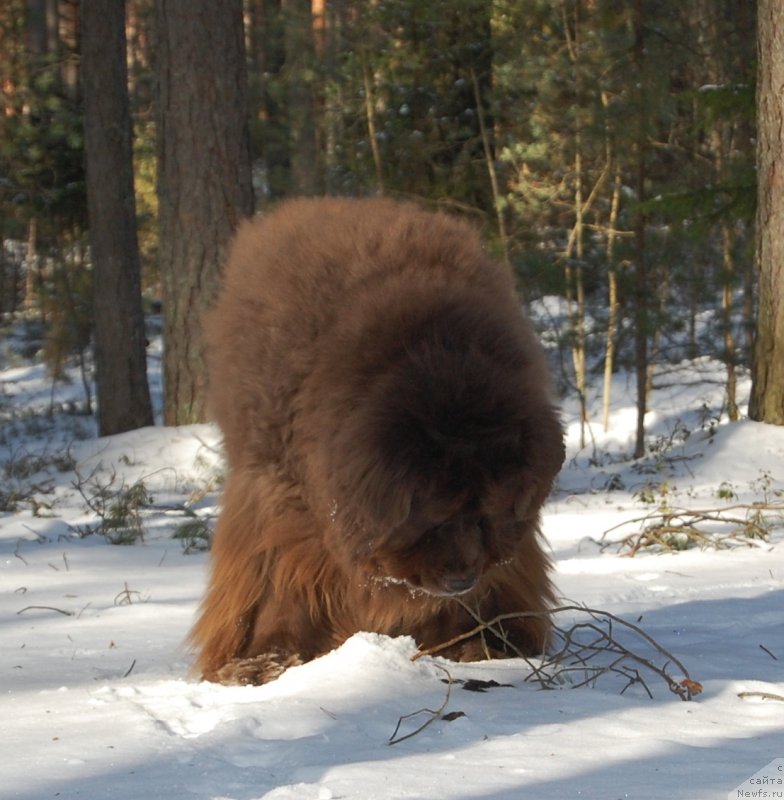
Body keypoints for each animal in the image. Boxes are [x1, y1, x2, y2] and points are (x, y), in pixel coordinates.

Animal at [193, 197, 568, 684]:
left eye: (489, 513)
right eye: (436, 517)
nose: (462, 579)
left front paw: (478, 642)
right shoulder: (287, 500)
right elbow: (282, 577)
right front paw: (263, 659)